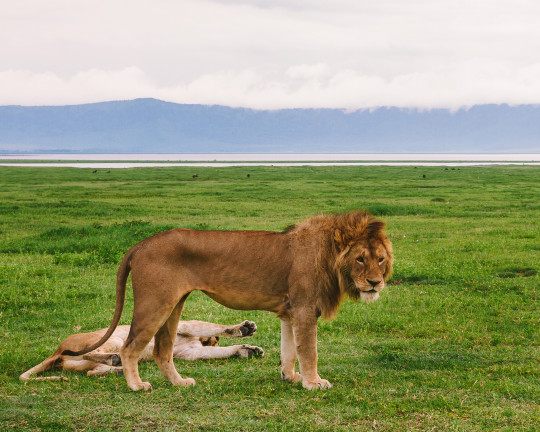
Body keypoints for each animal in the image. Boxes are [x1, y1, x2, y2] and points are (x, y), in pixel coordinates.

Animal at [22, 320, 262, 382]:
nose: (210, 342)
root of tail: (57, 350)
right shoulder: (186, 324)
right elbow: (214, 326)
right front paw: (244, 329)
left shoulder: (190, 353)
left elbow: (223, 350)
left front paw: (247, 350)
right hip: (112, 338)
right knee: (92, 353)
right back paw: (115, 360)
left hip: (83, 364)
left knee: (91, 371)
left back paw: (119, 368)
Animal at [64, 211, 392, 390]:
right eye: (360, 259)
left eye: (380, 259)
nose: (376, 283)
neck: (329, 256)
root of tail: (141, 243)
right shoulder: (304, 309)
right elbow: (308, 351)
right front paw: (314, 383)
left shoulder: (290, 312)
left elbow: (289, 350)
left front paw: (290, 378)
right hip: (155, 303)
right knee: (130, 348)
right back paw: (136, 386)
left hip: (174, 305)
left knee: (161, 350)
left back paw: (179, 383)